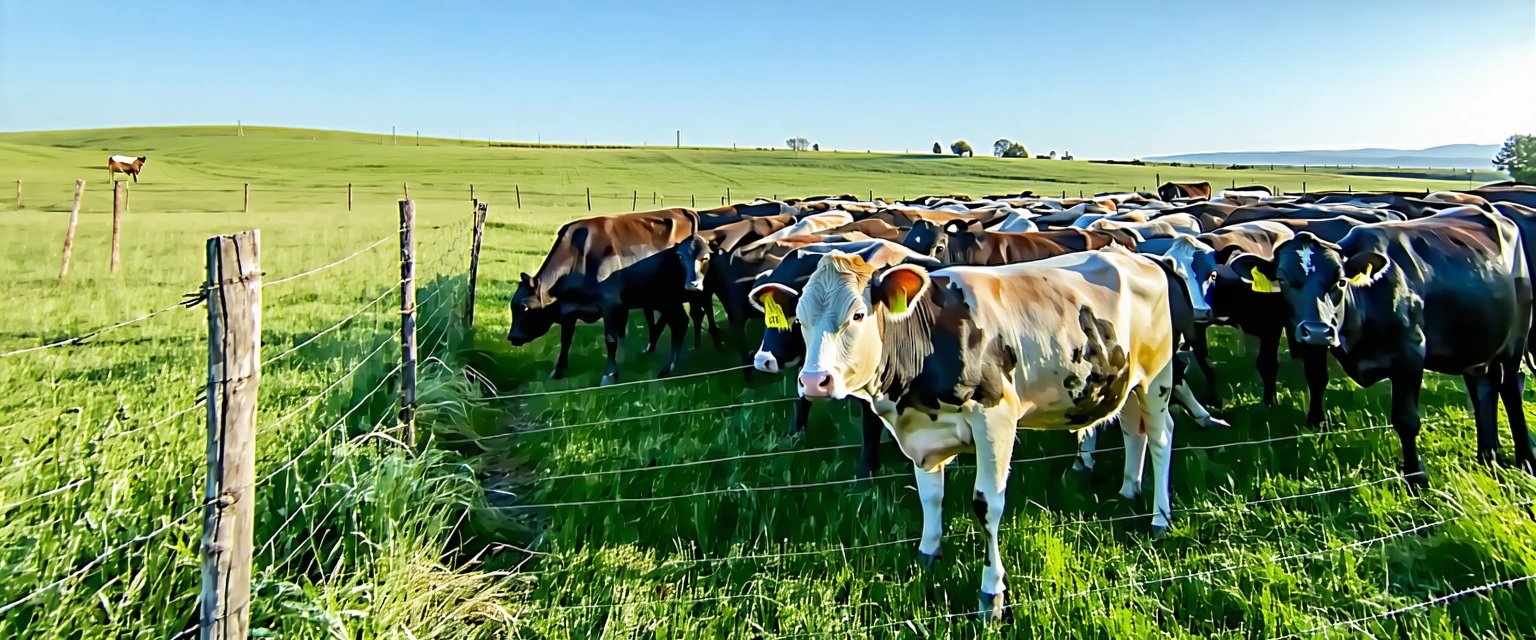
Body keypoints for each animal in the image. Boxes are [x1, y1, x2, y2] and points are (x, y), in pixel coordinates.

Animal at [507, 208, 698, 383]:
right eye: (512, 306)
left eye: (524, 307)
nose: (512, 337)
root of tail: (684, 211)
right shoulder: (569, 310)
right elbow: (566, 340)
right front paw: (558, 371)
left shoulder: (610, 305)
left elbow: (611, 340)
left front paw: (609, 375)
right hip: (664, 299)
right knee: (680, 323)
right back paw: (665, 364)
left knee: (681, 322)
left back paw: (669, 367)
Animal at [789, 247, 1178, 618]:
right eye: (801, 319)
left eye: (857, 315)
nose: (815, 381)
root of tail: (1135, 256)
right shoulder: (922, 433)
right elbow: (930, 496)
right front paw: (928, 554)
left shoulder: (995, 420)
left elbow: (987, 505)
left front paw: (992, 596)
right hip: (1124, 380)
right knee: (1133, 430)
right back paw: (1129, 490)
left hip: (1157, 378)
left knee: (1161, 438)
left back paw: (1160, 519)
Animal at [1229, 206, 1534, 487]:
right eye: (1282, 279)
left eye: (1340, 280)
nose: (1317, 330)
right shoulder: (1313, 343)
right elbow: (1316, 380)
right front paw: (1316, 425)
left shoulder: (1411, 354)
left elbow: (1406, 420)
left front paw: (1416, 478)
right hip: (1477, 348)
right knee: (1484, 390)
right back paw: (1487, 455)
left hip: (1515, 341)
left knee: (1510, 389)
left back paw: (1525, 459)